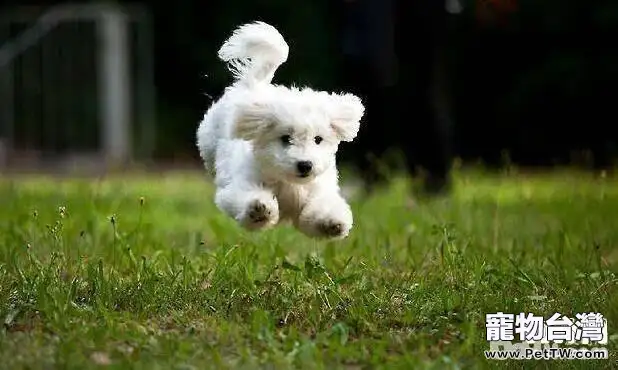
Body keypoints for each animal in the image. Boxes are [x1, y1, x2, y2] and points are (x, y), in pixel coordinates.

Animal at [195, 21, 364, 240]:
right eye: (285, 138)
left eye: (318, 139)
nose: (305, 165)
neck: (288, 183)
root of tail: (253, 85)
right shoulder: (241, 186)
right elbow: (244, 198)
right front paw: (258, 209)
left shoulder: (316, 192)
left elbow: (316, 213)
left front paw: (332, 222)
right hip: (208, 139)